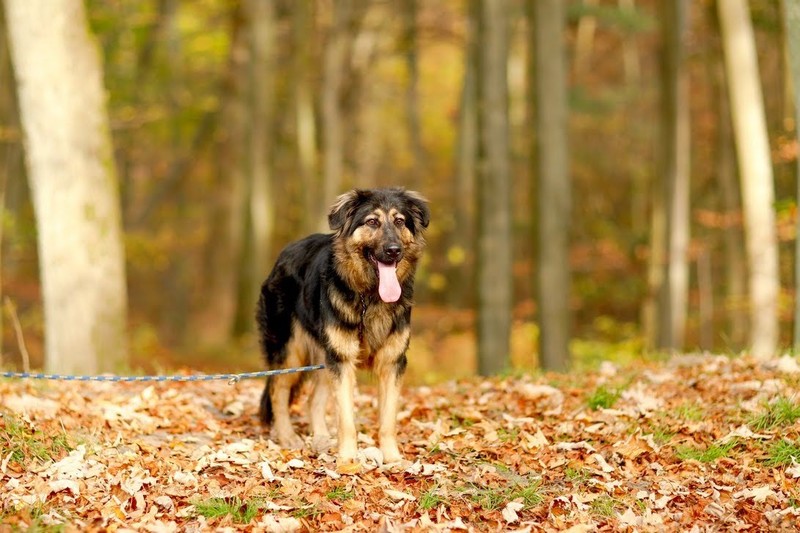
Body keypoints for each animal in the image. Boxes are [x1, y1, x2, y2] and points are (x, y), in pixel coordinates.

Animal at [258, 187, 432, 462]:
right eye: (372, 222)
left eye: (399, 221)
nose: (393, 250)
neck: (370, 297)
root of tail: (283, 255)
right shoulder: (342, 361)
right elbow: (346, 419)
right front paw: (348, 459)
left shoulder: (391, 363)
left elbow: (388, 419)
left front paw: (392, 457)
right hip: (291, 353)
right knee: (278, 393)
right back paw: (287, 437)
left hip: (323, 357)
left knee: (312, 401)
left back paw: (320, 439)